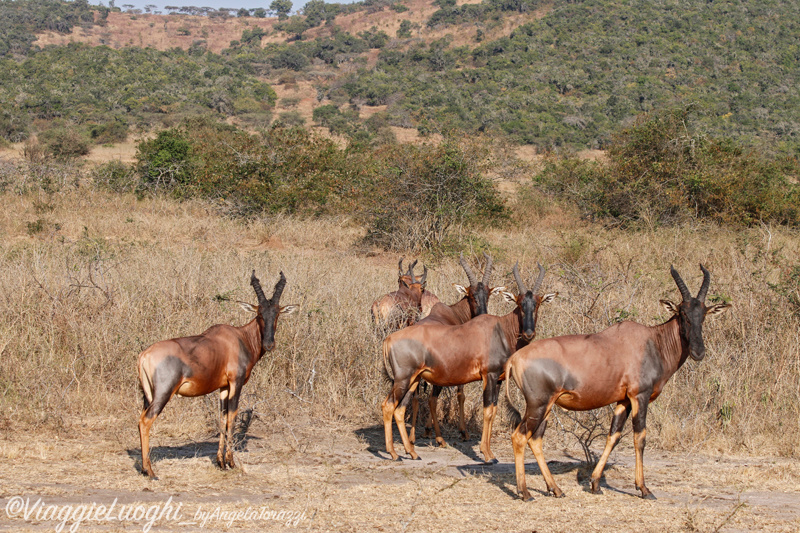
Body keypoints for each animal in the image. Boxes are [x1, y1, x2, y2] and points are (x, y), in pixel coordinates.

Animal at [138, 270, 296, 478]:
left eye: (276, 312)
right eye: (259, 313)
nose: (269, 344)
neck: (240, 337)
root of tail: (144, 355)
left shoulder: (223, 387)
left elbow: (222, 418)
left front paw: (220, 462)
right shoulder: (236, 383)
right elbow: (232, 417)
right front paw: (231, 462)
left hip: (147, 395)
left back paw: (144, 468)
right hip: (163, 393)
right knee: (145, 421)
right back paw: (150, 471)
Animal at [382, 262, 556, 462]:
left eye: (537, 303)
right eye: (519, 303)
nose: (528, 333)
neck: (499, 329)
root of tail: (389, 339)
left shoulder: (498, 380)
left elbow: (494, 410)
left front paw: (489, 452)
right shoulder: (489, 376)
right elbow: (487, 411)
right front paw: (487, 455)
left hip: (413, 380)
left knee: (400, 408)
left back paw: (412, 452)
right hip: (403, 379)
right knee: (388, 406)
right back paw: (394, 453)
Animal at [506, 264, 732, 500]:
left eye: (703, 314)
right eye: (682, 313)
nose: (699, 352)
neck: (652, 341)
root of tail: (515, 359)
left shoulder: (623, 400)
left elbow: (613, 436)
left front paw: (595, 484)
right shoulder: (639, 396)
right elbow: (639, 437)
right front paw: (644, 489)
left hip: (547, 406)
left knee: (535, 439)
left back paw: (556, 489)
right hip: (538, 405)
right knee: (519, 437)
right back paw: (525, 492)